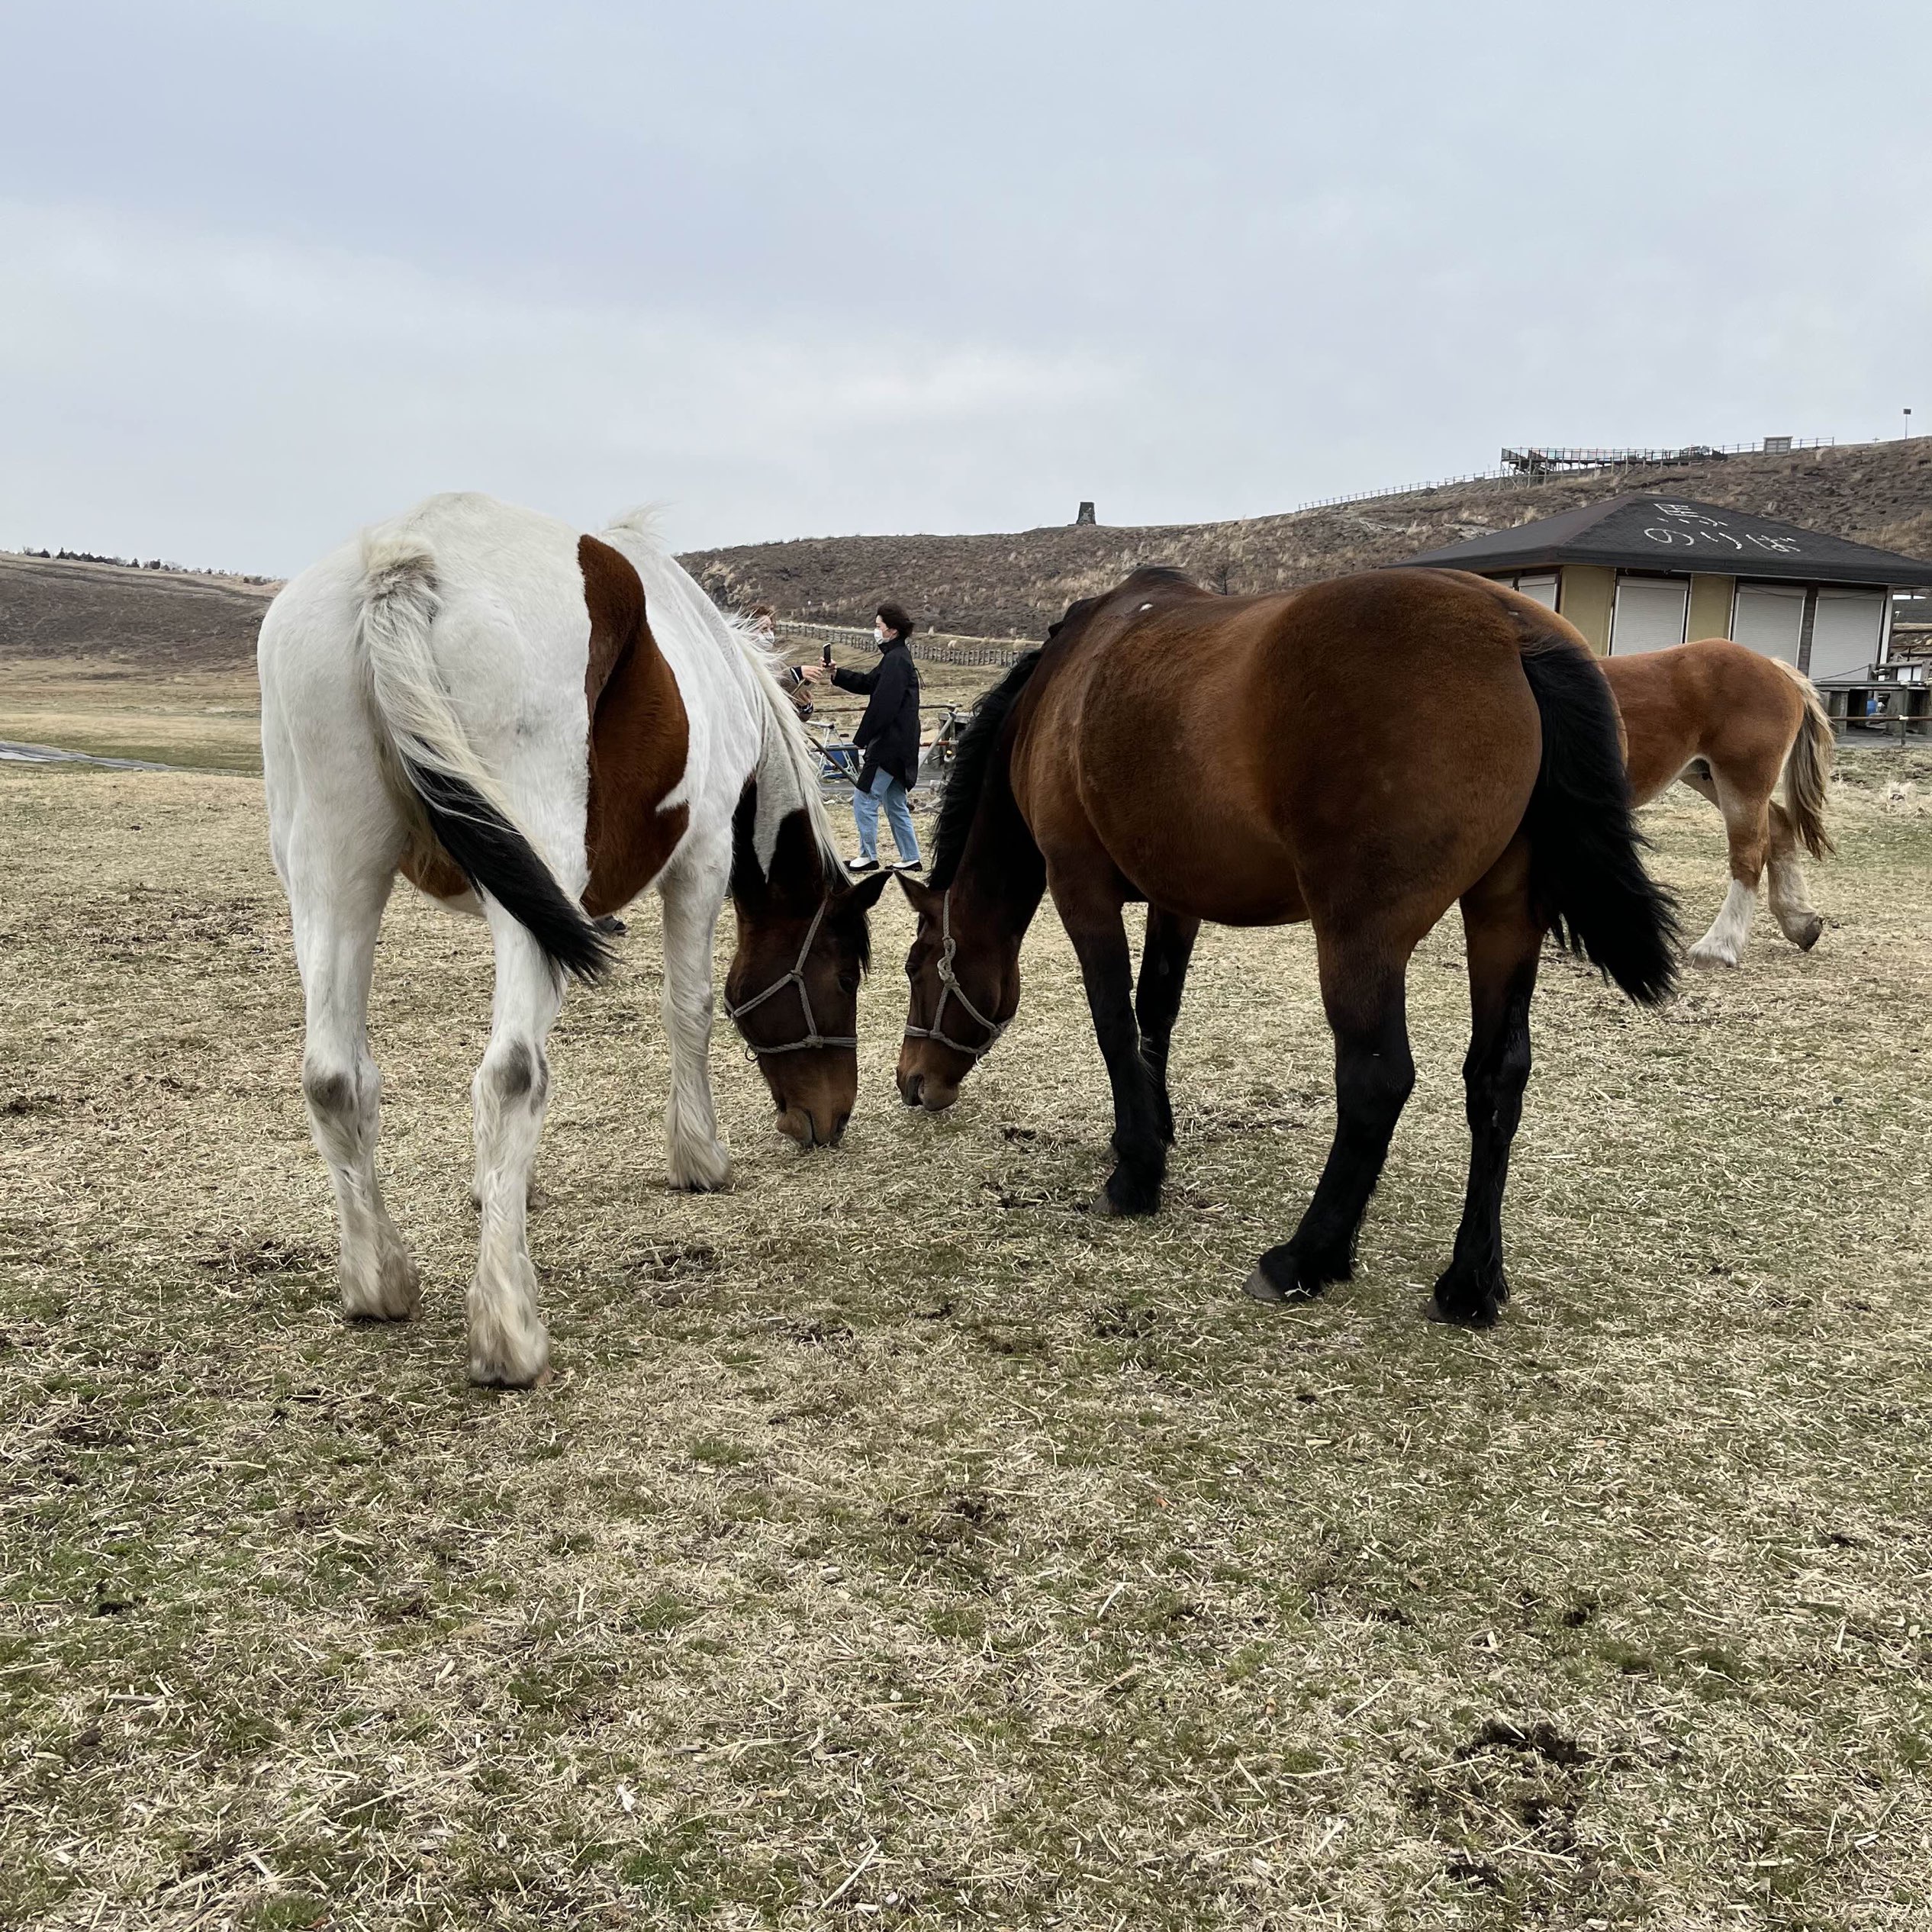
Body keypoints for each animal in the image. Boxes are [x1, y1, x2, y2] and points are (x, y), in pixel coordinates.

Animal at [259, 491, 888, 1383]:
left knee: (334, 1076)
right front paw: (700, 1158)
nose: (829, 1120)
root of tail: (404, 561)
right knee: (511, 1074)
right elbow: (690, 1010)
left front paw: (500, 1191)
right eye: (842, 975)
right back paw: (508, 1329)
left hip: (333, 871)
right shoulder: (700, 863)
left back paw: (380, 1281)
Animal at [892, 564, 1676, 1329]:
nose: (912, 1083)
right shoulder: (1177, 898)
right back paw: (1469, 1283)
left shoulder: (1080, 887)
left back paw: (1306, 1257)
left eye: (917, 969)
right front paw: (1153, 1128)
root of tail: (1512, 628)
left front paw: (1135, 1173)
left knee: (1376, 1082)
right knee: (1496, 1079)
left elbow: (1115, 1023)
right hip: (1505, 922)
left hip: (1361, 937)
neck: (1062, 692)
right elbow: (1155, 1016)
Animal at [1607, 637, 1831, 966]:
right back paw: (1799, 920)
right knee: (1779, 826)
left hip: (1741, 783)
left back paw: (1719, 945)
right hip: (1709, 778)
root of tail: (1774, 667)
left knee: (1750, 853)